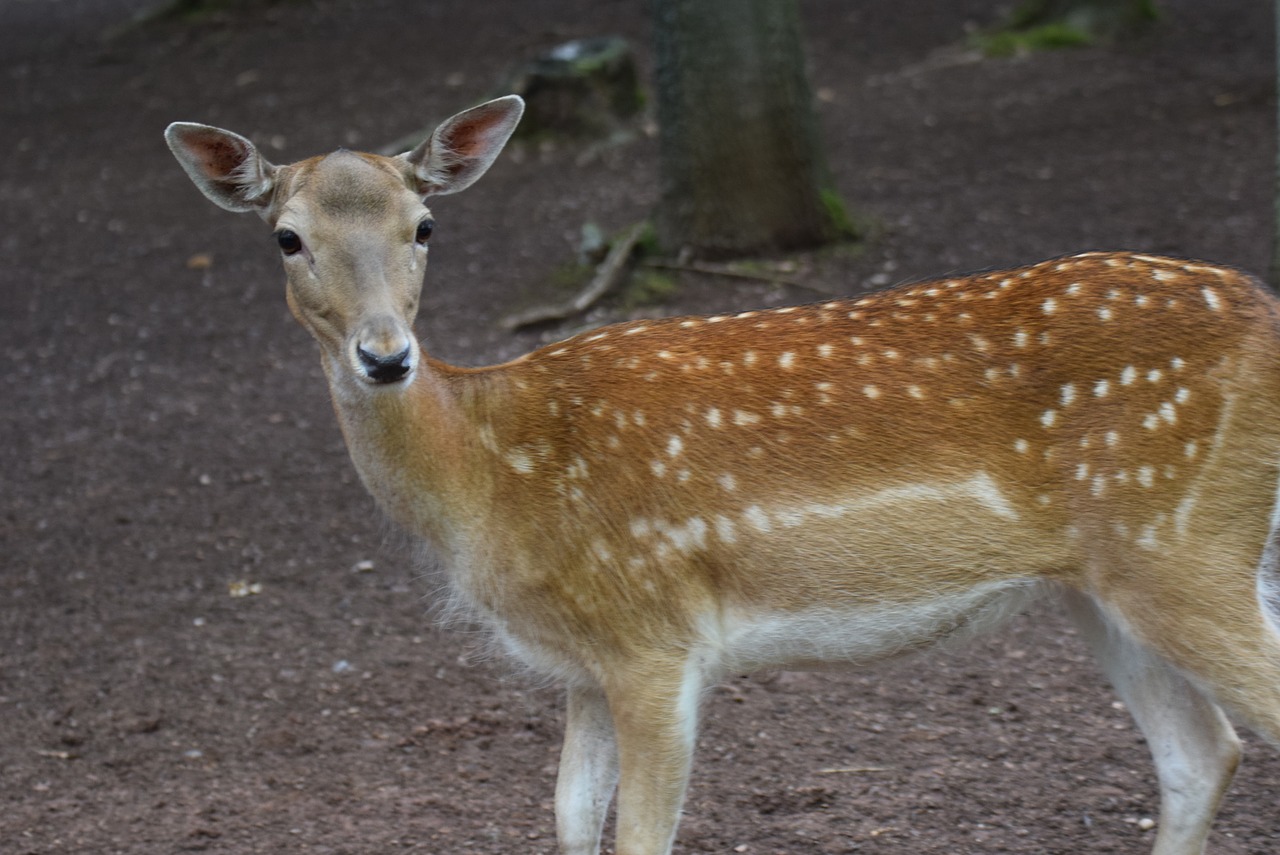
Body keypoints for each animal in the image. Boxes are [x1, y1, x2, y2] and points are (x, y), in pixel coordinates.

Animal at [165, 95, 1280, 855]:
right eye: (287, 236)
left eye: (424, 227)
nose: (385, 356)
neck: (487, 477)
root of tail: (1262, 307)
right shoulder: (581, 664)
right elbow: (567, 820)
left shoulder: (653, 639)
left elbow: (635, 836)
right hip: (1104, 583)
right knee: (1201, 752)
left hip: (1187, 544)